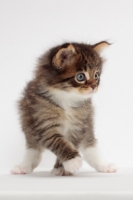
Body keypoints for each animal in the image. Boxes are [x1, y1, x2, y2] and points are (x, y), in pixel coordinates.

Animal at [10, 41, 116, 175]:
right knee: (33, 149)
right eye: (80, 77)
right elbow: (59, 142)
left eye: (96, 75)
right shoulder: (44, 123)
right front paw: (73, 162)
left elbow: (71, 143)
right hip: (28, 126)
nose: (94, 86)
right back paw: (24, 166)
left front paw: (62, 168)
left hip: (88, 127)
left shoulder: (78, 126)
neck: (67, 98)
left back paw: (104, 165)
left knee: (90, 146)